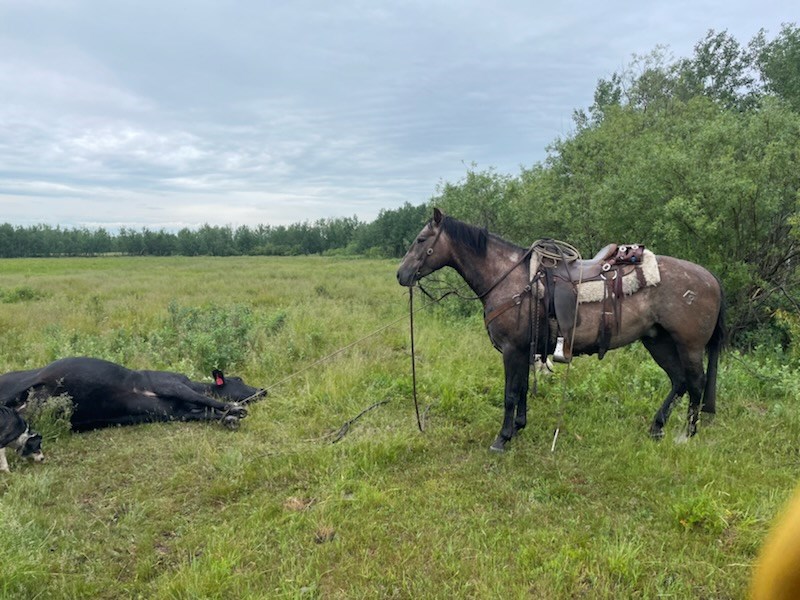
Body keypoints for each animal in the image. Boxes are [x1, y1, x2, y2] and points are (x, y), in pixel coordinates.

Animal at [0, 356, 268, 432]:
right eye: (239, 379)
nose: (263, 390)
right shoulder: (169, 383)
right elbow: (205, 399)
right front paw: (235, 408)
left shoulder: (174, 412)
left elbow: (205, 411)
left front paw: (229, 417)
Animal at [396, 209, 724, 452]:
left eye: (421, 239)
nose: (401, 274)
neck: (510, 279)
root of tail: (710, 277)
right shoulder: (524, 350)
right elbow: (523, 388)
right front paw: (519, 427)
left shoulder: (512, 350)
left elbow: (510, 393)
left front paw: (502, 439)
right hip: (657, 340)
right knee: (679, 381)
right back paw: (657, 428)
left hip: (689, 346)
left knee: (695, 382)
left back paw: (686, 435)